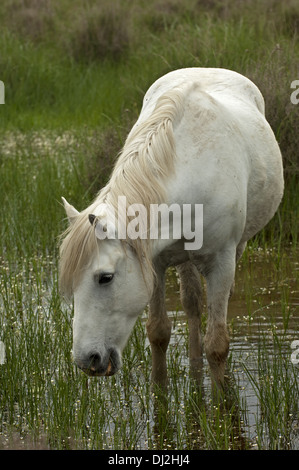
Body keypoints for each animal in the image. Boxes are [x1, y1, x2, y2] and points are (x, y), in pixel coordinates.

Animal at [58, 68, 284, 388]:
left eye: (105, 278)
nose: (86, 360)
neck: (194, 169)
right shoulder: (153, 263)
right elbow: (158, 332)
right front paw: (161, 393)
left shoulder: (221, 263)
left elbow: (218, 344)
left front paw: (222, 399)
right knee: (192, 304)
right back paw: (194, 363)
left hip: (236, 249)